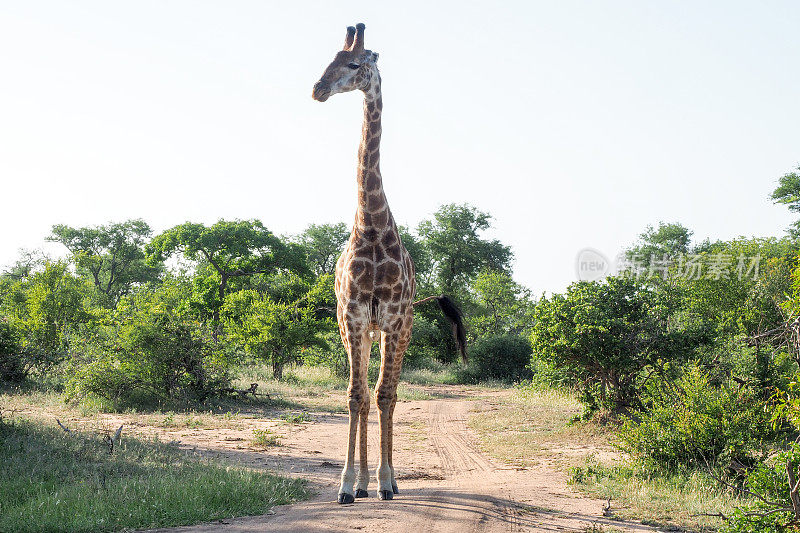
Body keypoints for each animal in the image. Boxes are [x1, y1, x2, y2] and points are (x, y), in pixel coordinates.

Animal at [310, 21, 466, 502]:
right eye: (329, 58)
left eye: (354, 64)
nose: (317, 89)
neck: (373, 225)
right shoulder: (353, 315)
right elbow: (355, 395)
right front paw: (347, 483)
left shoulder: (395, 318)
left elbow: (384, 395)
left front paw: (385, 479)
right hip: (361, 331)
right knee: (363, 396)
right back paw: (361, 483)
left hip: (398, 329)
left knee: (388, 394)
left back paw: (384, 480)